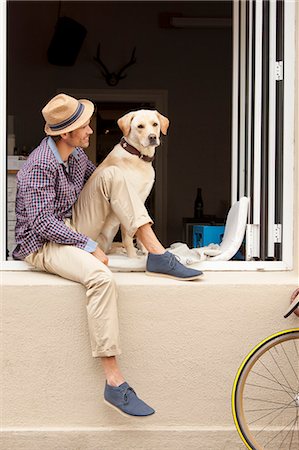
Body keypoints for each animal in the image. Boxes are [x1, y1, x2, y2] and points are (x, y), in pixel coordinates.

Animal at [95, 109, 169, 256]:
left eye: (155, 124)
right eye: (140, 126)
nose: (152, 137)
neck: (138, 156)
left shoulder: (141, 199)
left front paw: (145, 251)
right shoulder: (125, 199)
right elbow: (128, 236)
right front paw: (132, 257)